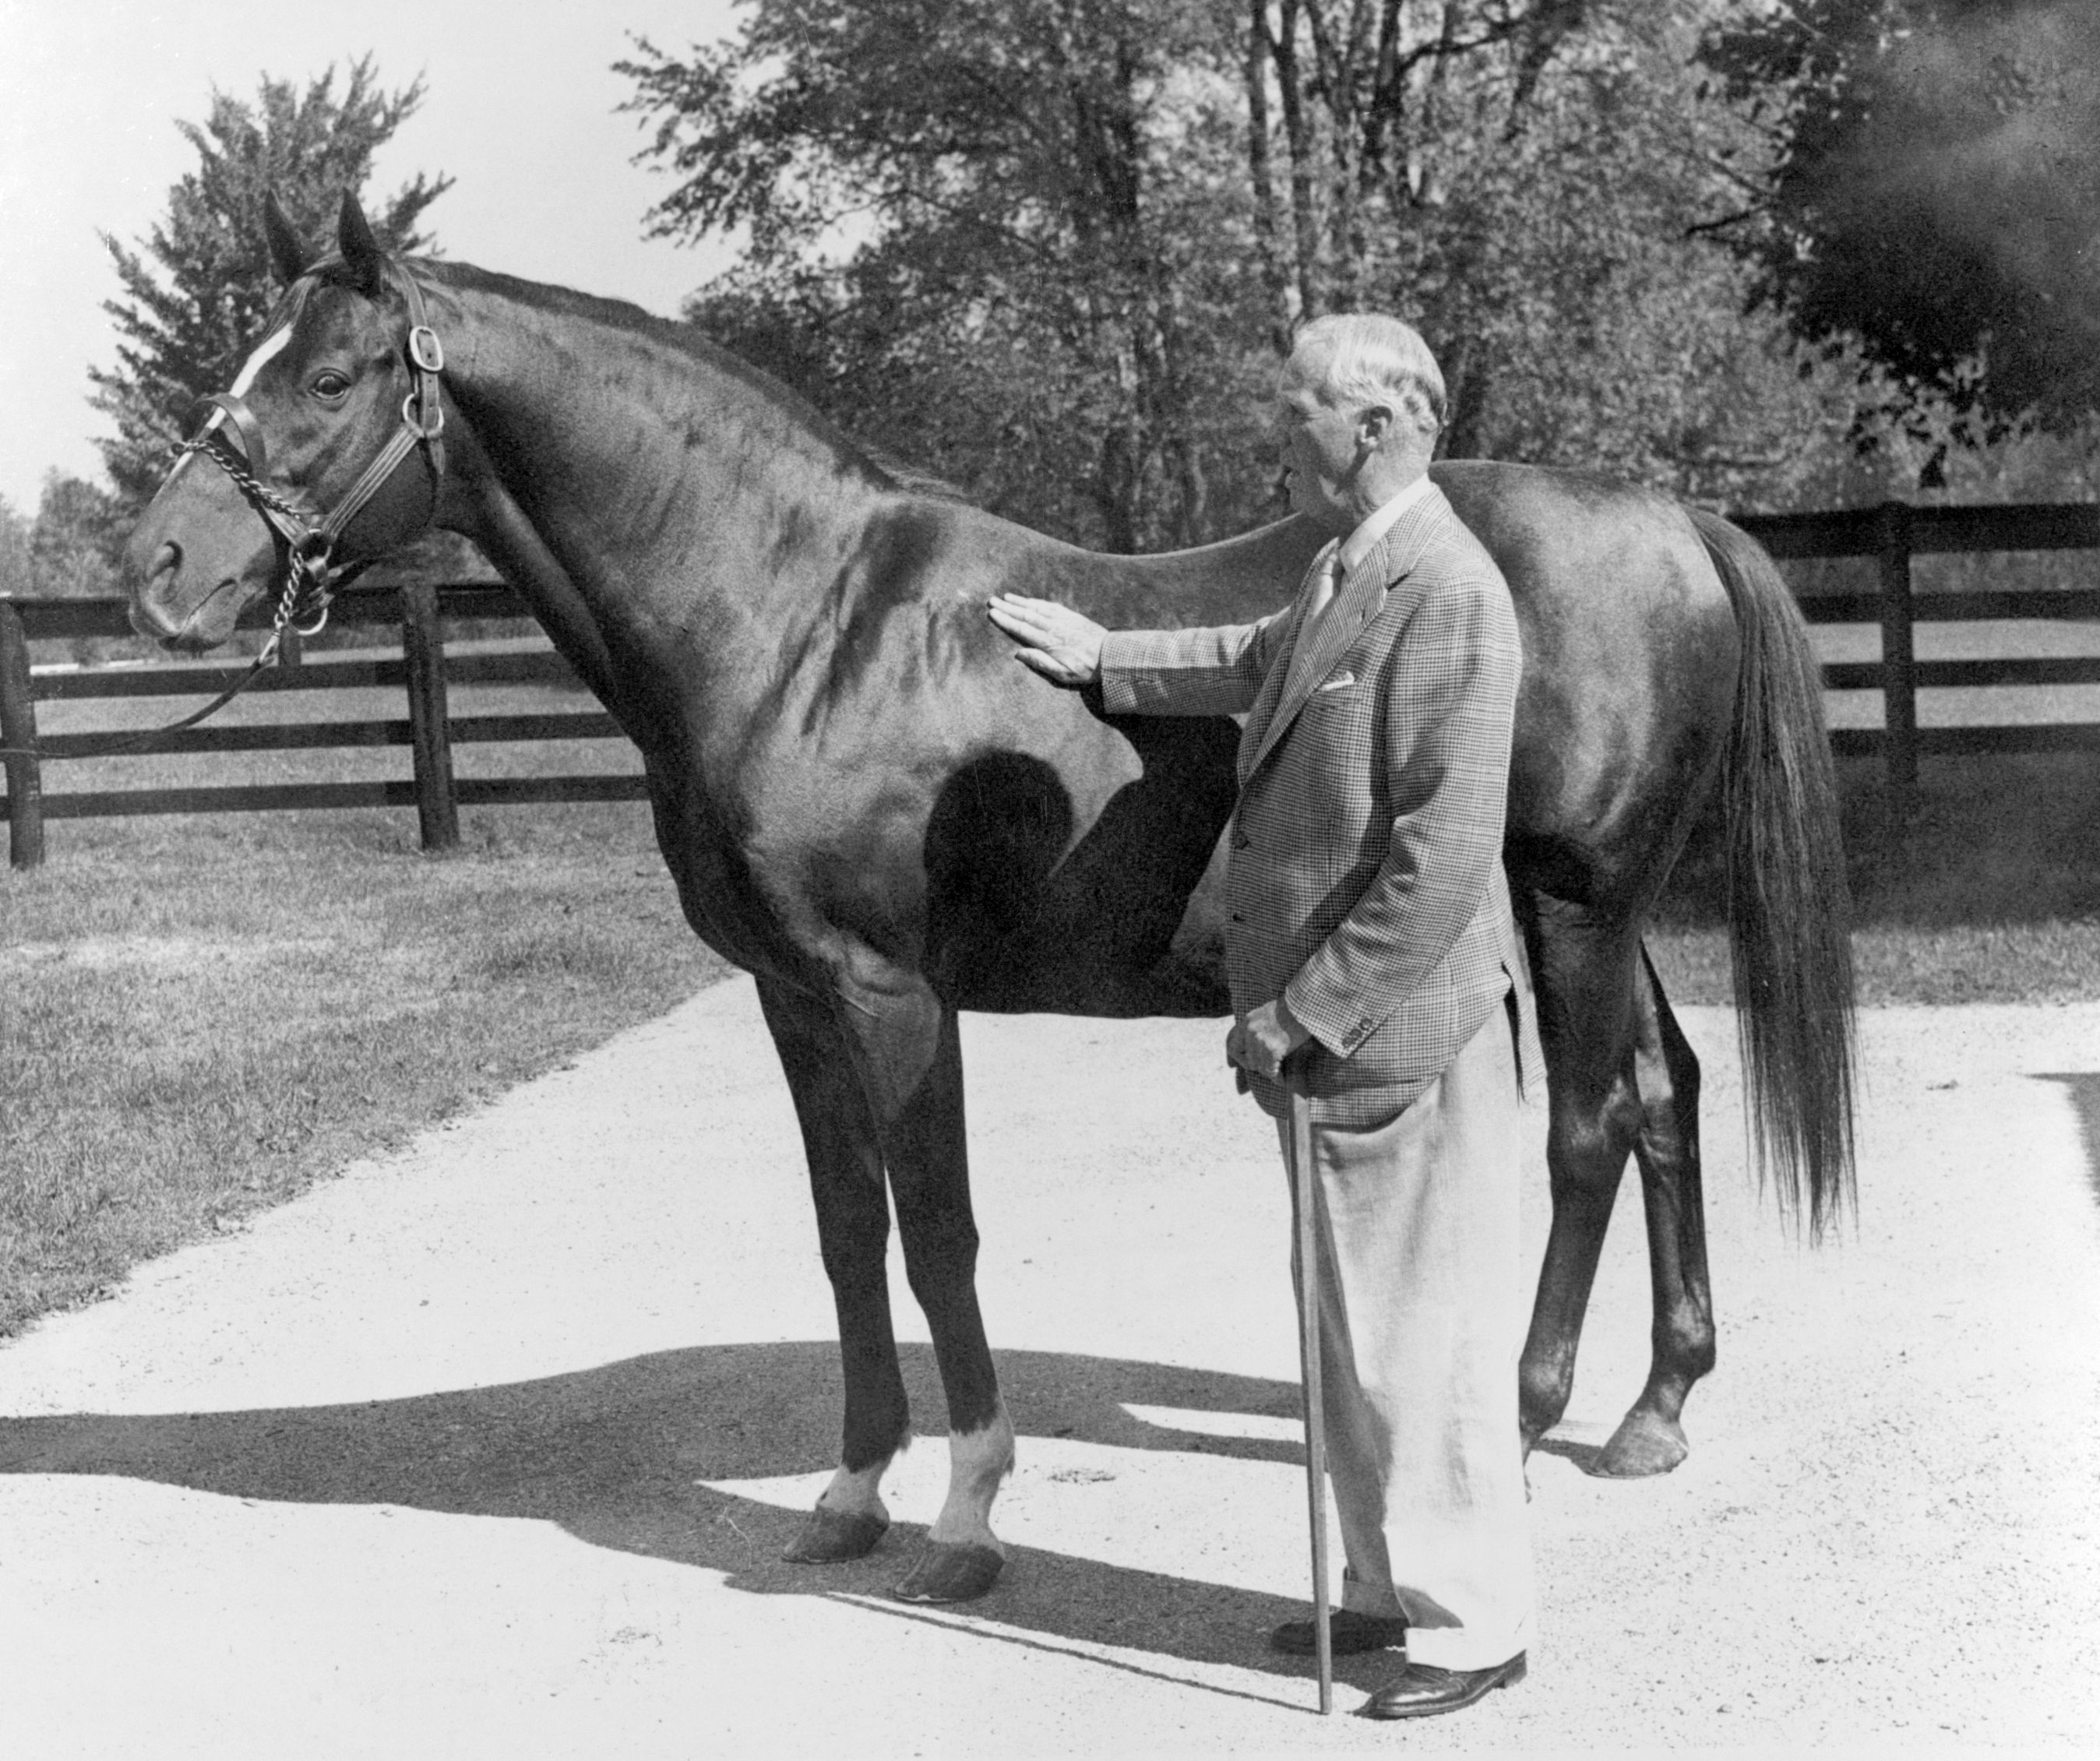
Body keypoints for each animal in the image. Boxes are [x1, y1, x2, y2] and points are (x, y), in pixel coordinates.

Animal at [122, 195, 1848, 1611]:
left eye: (331, 378)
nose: (160, 568)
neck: (798, 620)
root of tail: (1676, 520)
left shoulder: (890, 991)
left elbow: (938, 1234)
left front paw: (964, 1513)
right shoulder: (790, 994)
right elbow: (846, 1233)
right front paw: (847, 1492)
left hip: (1574, 907)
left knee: (1587, 1128)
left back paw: (1536, 1404)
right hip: (1602, 919)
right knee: (1666, 1092)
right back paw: (1654, 1407)